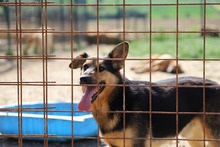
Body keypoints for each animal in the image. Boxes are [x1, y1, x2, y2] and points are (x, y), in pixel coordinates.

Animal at [69, 41, 220, 147]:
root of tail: (217, 85)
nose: (83, 78)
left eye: (101, 68)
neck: (119, 100)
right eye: (85, 67)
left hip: (213, 137)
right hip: (193, 136)